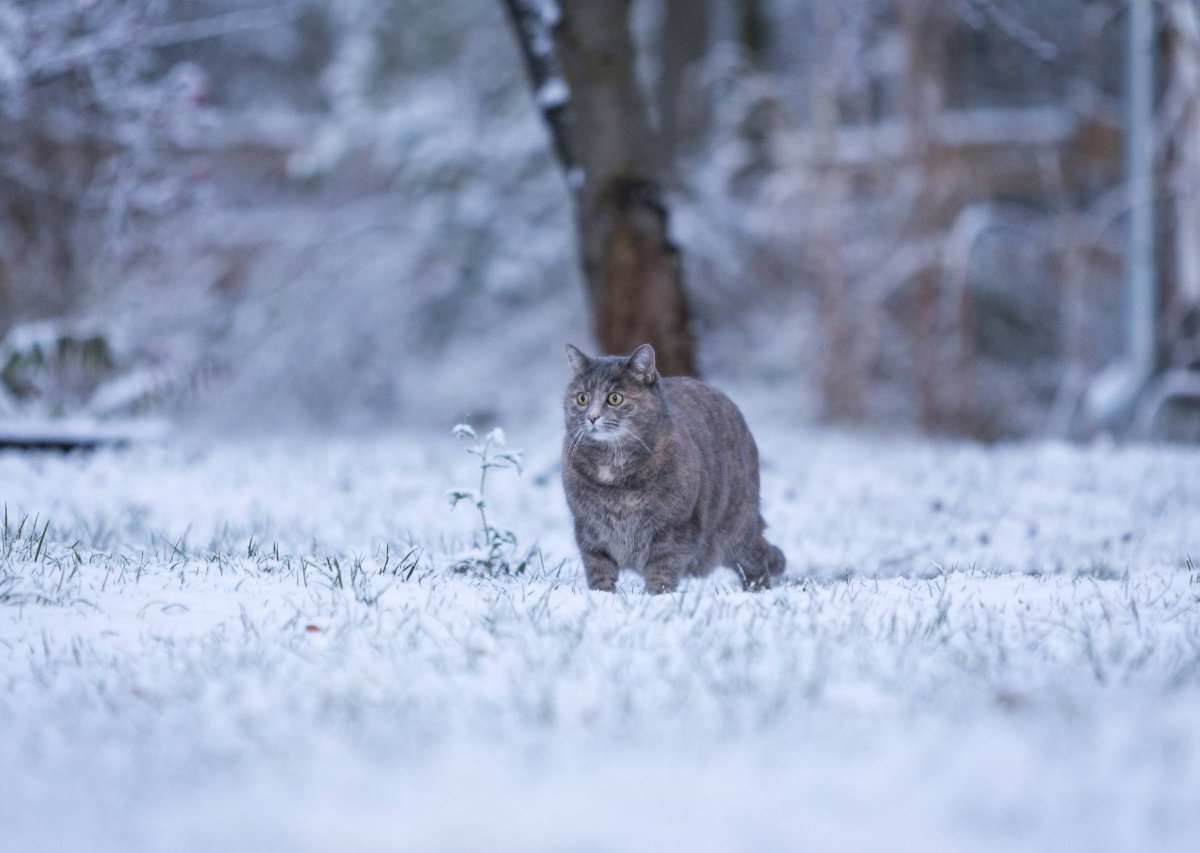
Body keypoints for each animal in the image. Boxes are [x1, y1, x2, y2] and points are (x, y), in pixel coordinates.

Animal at [561, 340, 787, 595]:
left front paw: (657, 595)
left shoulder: (673, 527)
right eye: (582, 398)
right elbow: (598, 566)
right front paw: (601, 595)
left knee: (755, 559)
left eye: (615, 398)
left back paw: (758, 591)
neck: (613, 467)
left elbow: (663, 566)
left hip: (737, 525)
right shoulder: (588, 528)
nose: (591, 416)